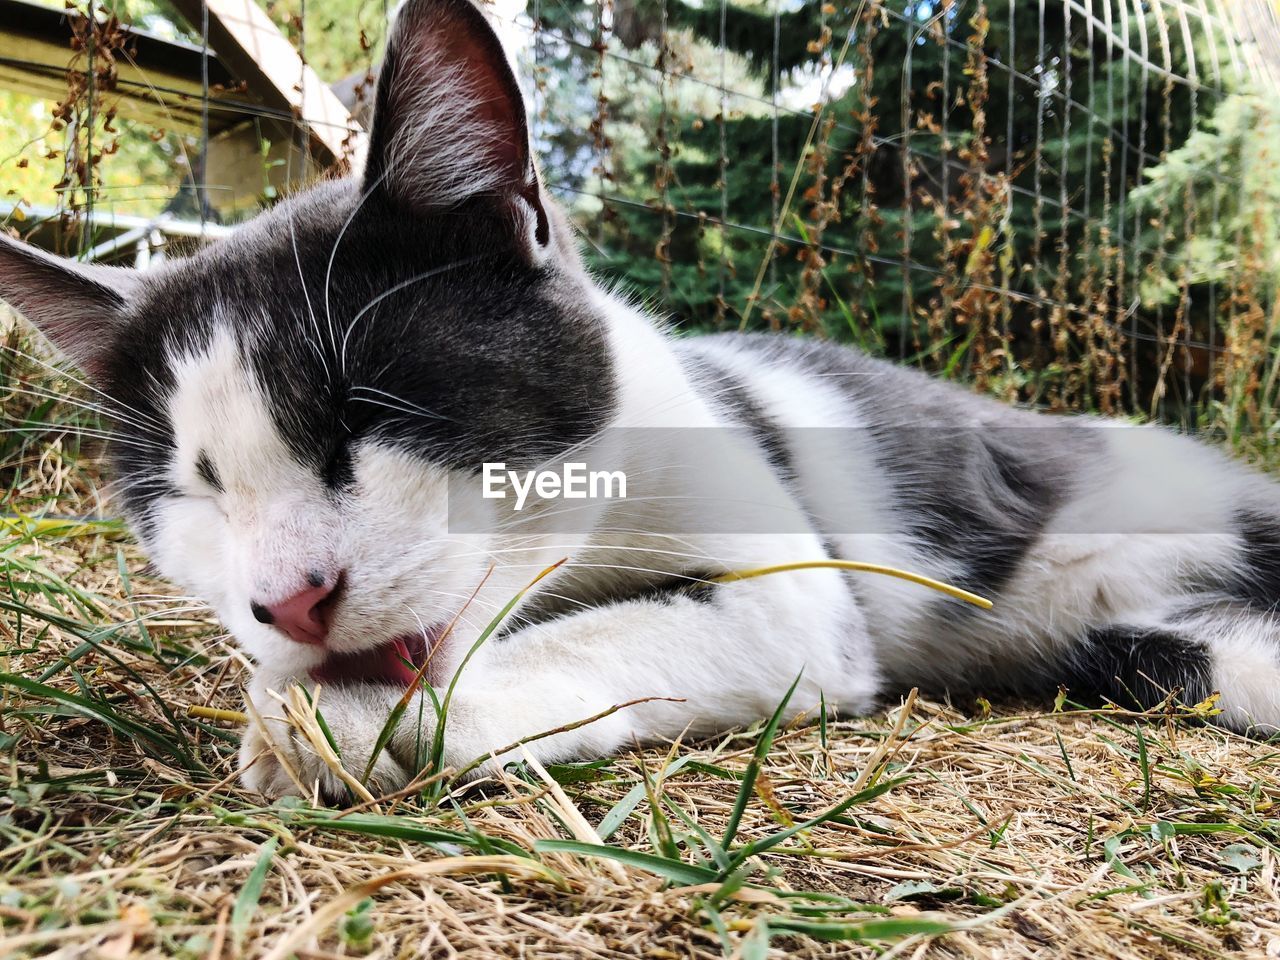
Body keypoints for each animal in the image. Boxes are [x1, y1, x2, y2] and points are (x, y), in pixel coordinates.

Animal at [2, 0, 1280, 798]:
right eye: (194, 493)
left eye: (368, 413)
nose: (291, 600)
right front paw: (290, 690)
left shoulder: (794, 593)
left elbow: (618, 632)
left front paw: (345, 727)